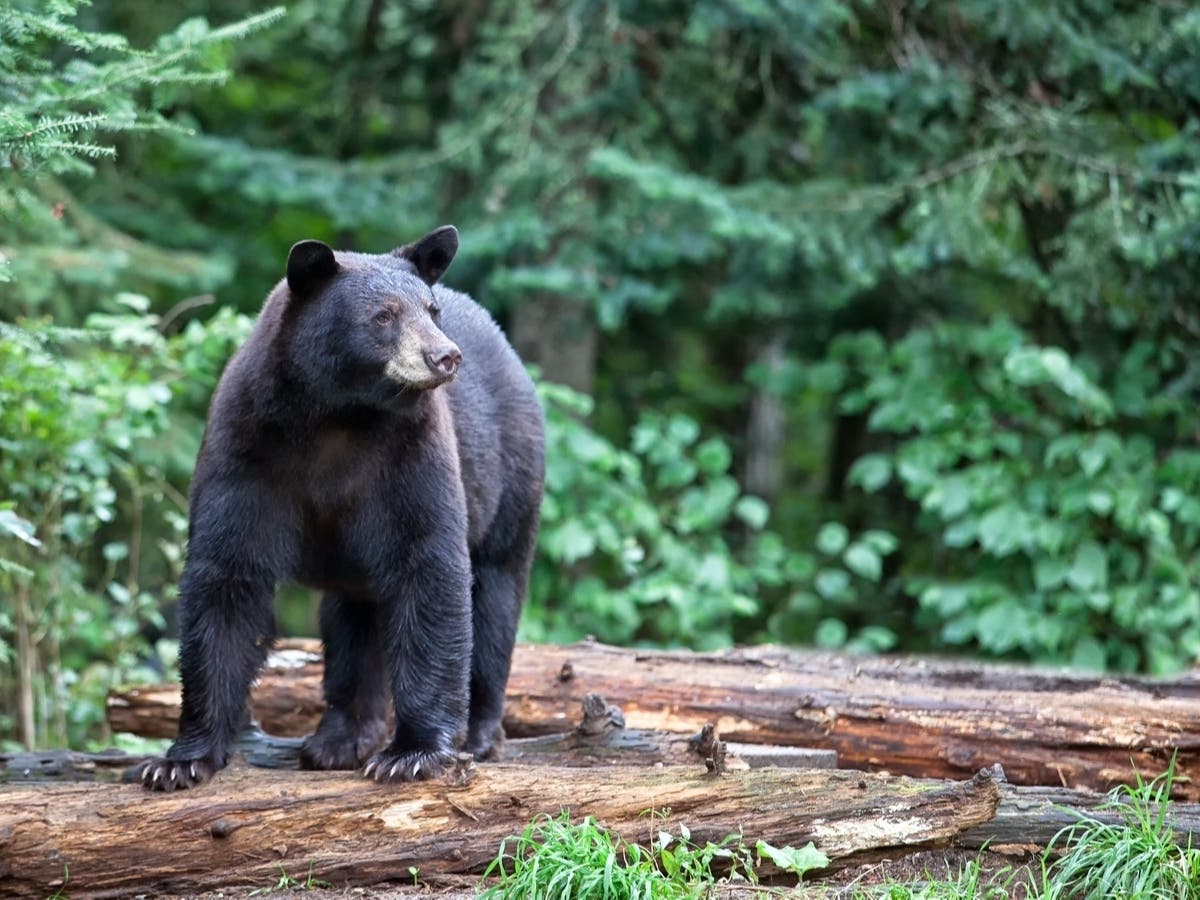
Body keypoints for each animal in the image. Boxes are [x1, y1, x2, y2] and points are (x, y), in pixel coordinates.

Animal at [139, 229, 544, 792]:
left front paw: (413, 753)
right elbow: (226, 578)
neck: (338, 416)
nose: (445, 356)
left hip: (511, 477)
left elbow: (429, 568)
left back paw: (480, 733)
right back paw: (340, 738)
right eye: (384, 315)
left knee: (495, 595)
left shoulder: (411, 456)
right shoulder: (246, 451)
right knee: (354, 620)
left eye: (431, 310)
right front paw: (180, 760)